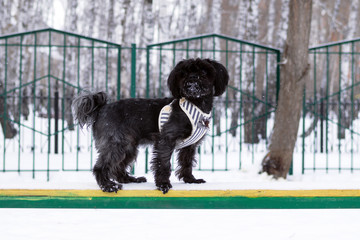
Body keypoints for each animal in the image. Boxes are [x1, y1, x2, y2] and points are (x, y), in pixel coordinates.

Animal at [72, 57, 229, 193]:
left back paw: (130, 179)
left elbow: (187, 163)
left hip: (129, 146)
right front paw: (163, 184)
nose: (192, 79)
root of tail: (101, 108)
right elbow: (163, 163)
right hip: (116, 144)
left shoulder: (189, 146)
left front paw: (191, 180)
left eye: (204, 72)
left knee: (118, 167)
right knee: (100, 166)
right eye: (184, 73)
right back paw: (108, 185)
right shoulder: (166, 140)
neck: (196, 102)